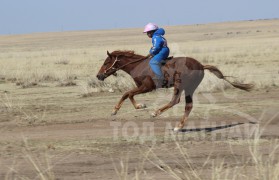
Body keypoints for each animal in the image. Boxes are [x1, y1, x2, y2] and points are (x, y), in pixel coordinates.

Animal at [96, 50, 254, 131]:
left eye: (106, 62)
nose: (98, 76)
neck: (138, 65)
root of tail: (201, 65)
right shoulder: (142, 87)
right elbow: (129, 94)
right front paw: (140, 106)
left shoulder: (147, 87)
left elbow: (126, 93)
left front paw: (115, 110)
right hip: (190, 88)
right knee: (188, 105)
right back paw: (179, 126)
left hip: (180, 85)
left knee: (175, 100)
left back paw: (156, 113)